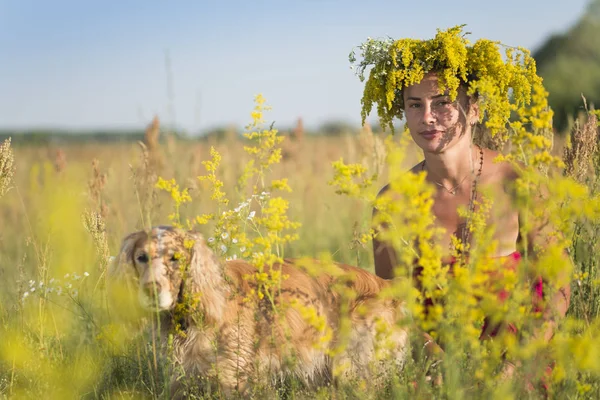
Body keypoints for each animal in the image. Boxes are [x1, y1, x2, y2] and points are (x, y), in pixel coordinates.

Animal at [110, 225, 410, 396]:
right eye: (141, 258)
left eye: (175, 258)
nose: (151, 290)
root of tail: (386, 284)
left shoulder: (233, 380)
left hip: (354, 369)